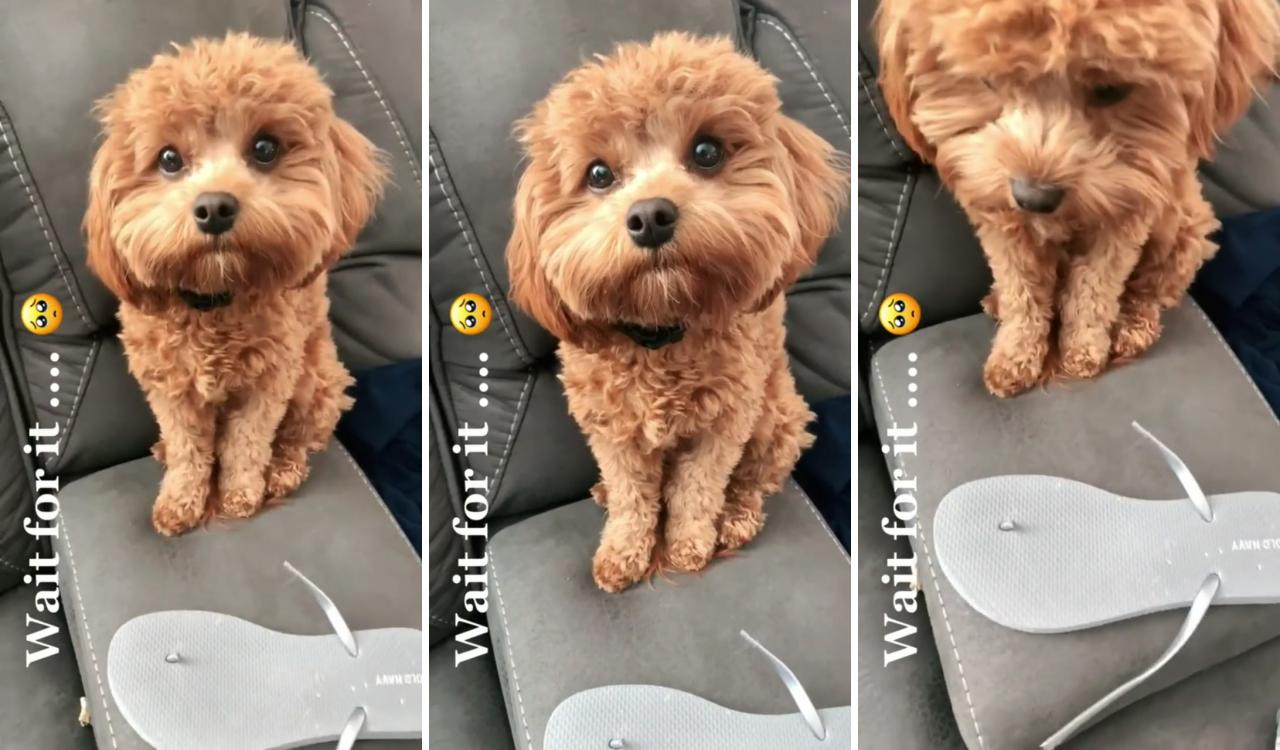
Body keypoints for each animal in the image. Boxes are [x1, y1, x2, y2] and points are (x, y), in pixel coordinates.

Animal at [85, 33, 386, 532]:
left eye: (265, 148)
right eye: (169, 159)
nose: (214, 208)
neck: (215, 299)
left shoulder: (268, 383)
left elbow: (246, 443)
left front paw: (239, 496)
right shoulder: (170, 388)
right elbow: (188, 448)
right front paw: (180, 501)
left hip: (315, 381)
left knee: (300, 437)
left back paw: (282, 472)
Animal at [506, 33, 849, 588]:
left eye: (707, 151)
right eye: (598, 174)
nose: (650, 216)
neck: (661, 330)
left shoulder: (723, 424)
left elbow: (697, 489)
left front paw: (688, 546)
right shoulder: (612, 431)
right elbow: (632, 497)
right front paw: (623, 552)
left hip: (776, 417)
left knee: (754, 480)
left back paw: (735, 520)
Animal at [875, 0, 1280, 396]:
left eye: (1111, 90)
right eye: (988, 79)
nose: (1033, 198)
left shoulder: (1122, 220)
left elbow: (1093, 291)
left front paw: (1083, 352)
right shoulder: (1004, 224)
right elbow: (1021, 291)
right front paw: (1014, 357)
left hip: (1184, 232)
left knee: (1151, 290)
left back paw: (1132, 328)